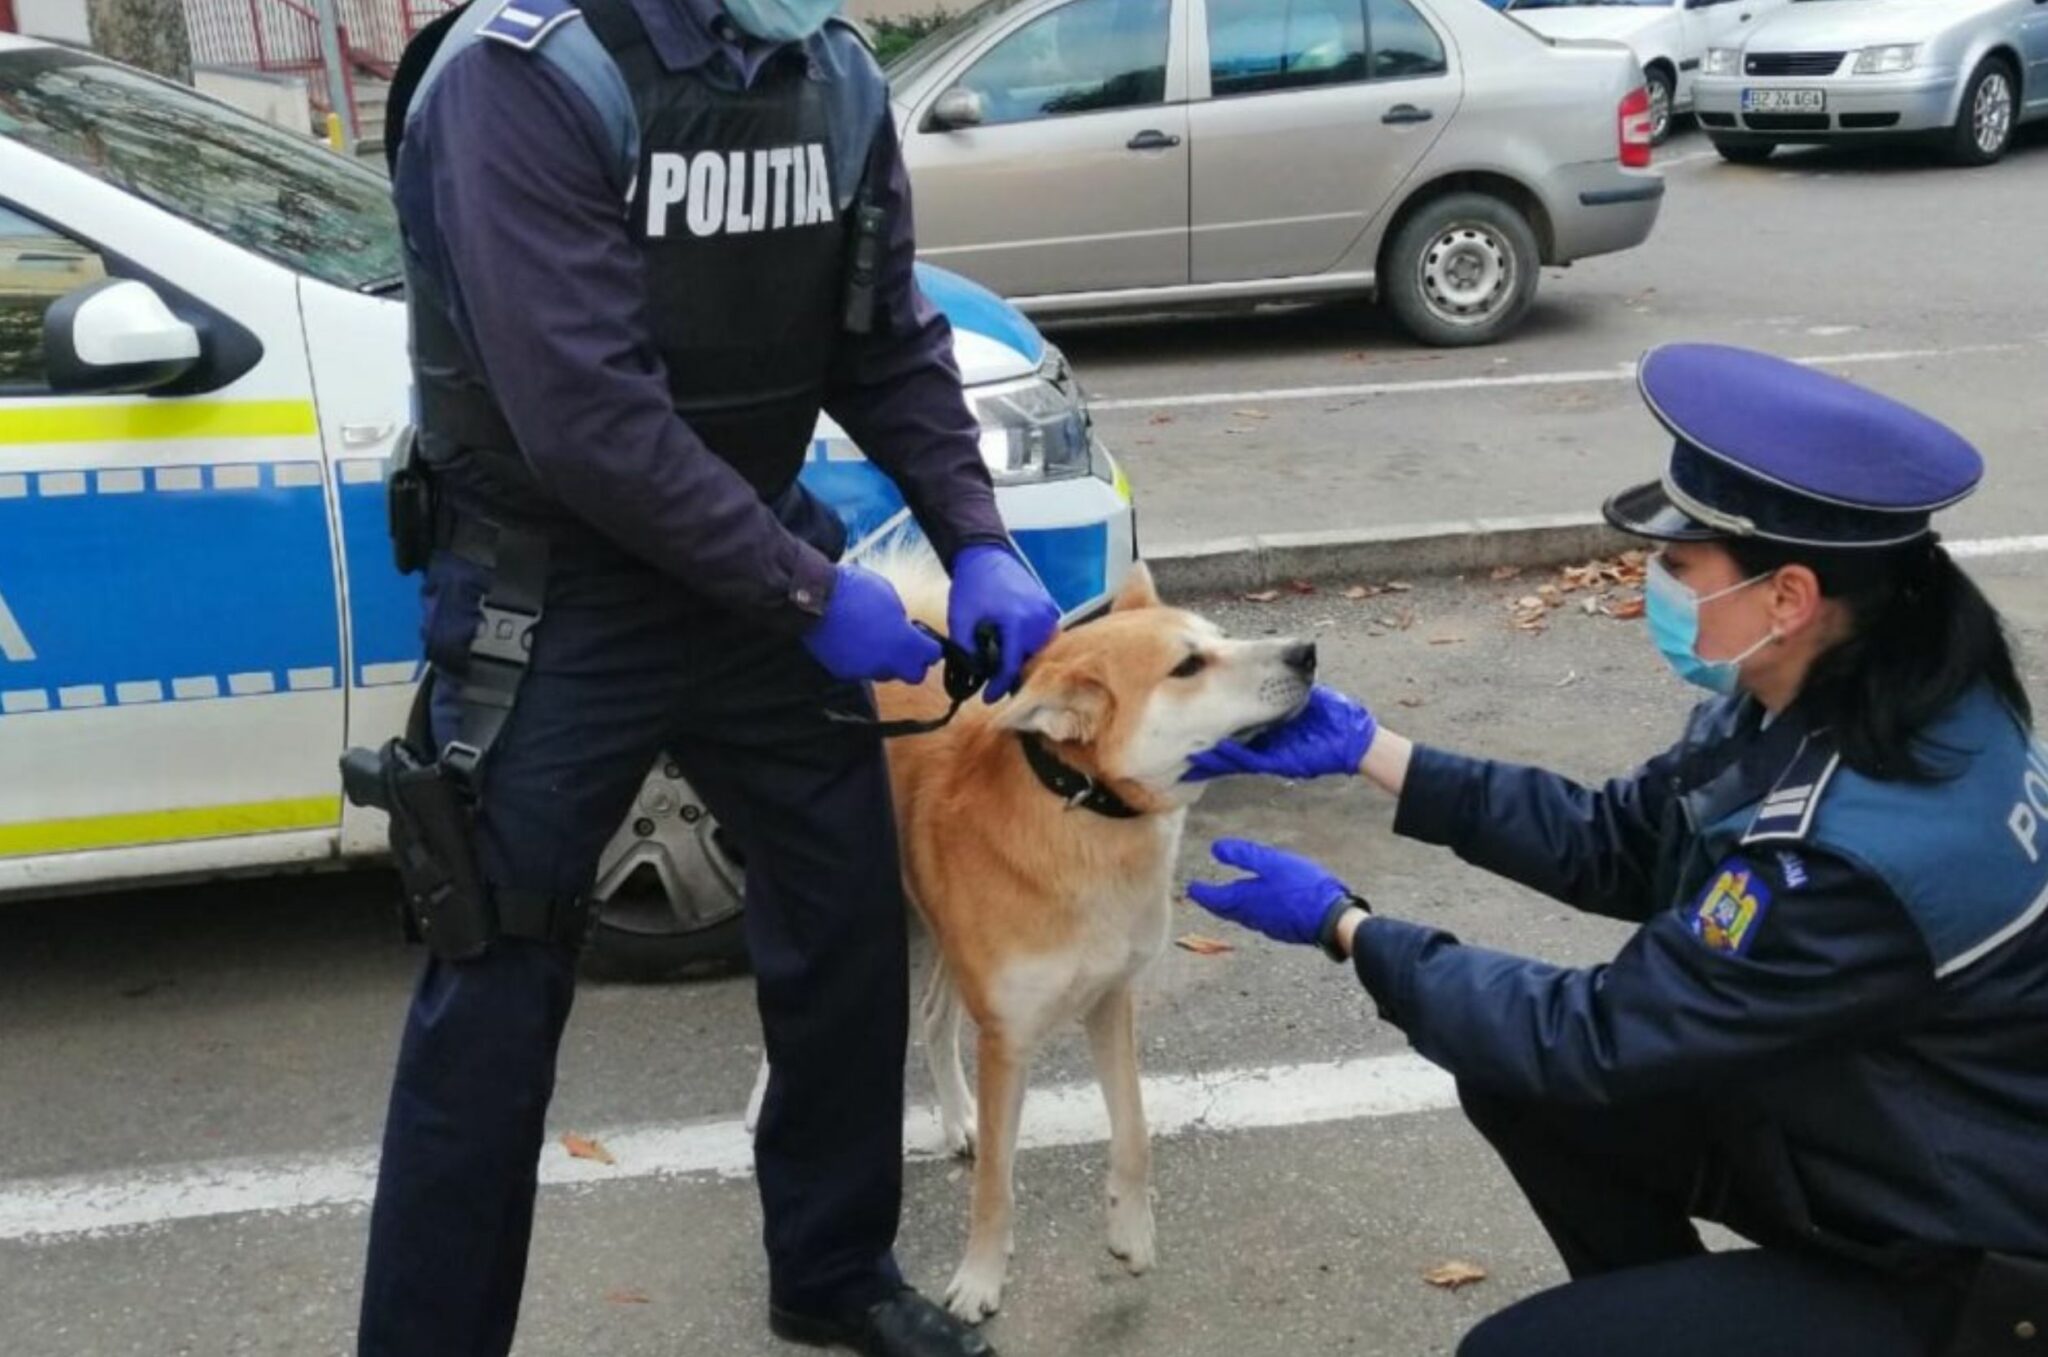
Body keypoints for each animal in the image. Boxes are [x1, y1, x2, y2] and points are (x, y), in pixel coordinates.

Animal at [749, 560, 1310, 1326]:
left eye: (1220, 636)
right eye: (1188, 666)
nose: (1307, 652)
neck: (1080, 810)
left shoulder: (1109, 1002)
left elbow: (1134, 1132)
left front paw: (1131, 1230)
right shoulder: (1007, 1038)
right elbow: (996, 1184)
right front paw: (980, 1279)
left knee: (933, 1016)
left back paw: (959, 1117)